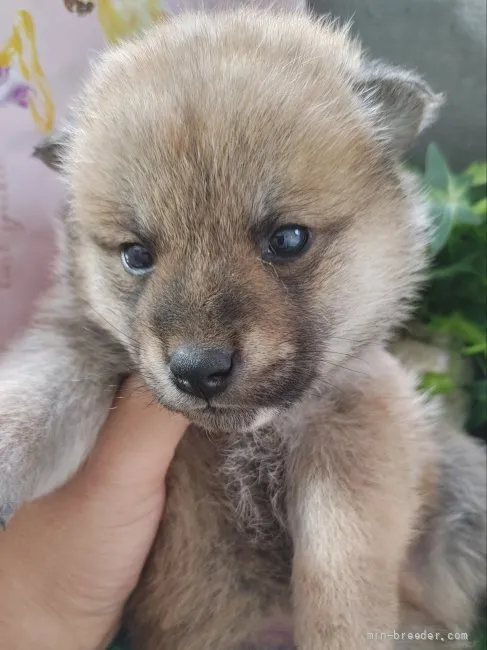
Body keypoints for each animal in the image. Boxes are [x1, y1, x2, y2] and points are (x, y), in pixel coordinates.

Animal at [0, 6, 487, 648]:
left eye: (288, 239)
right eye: (136, 255)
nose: (197, 370)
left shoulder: (354, 427)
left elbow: (342, 566)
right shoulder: (78, 345)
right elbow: (32, 401)